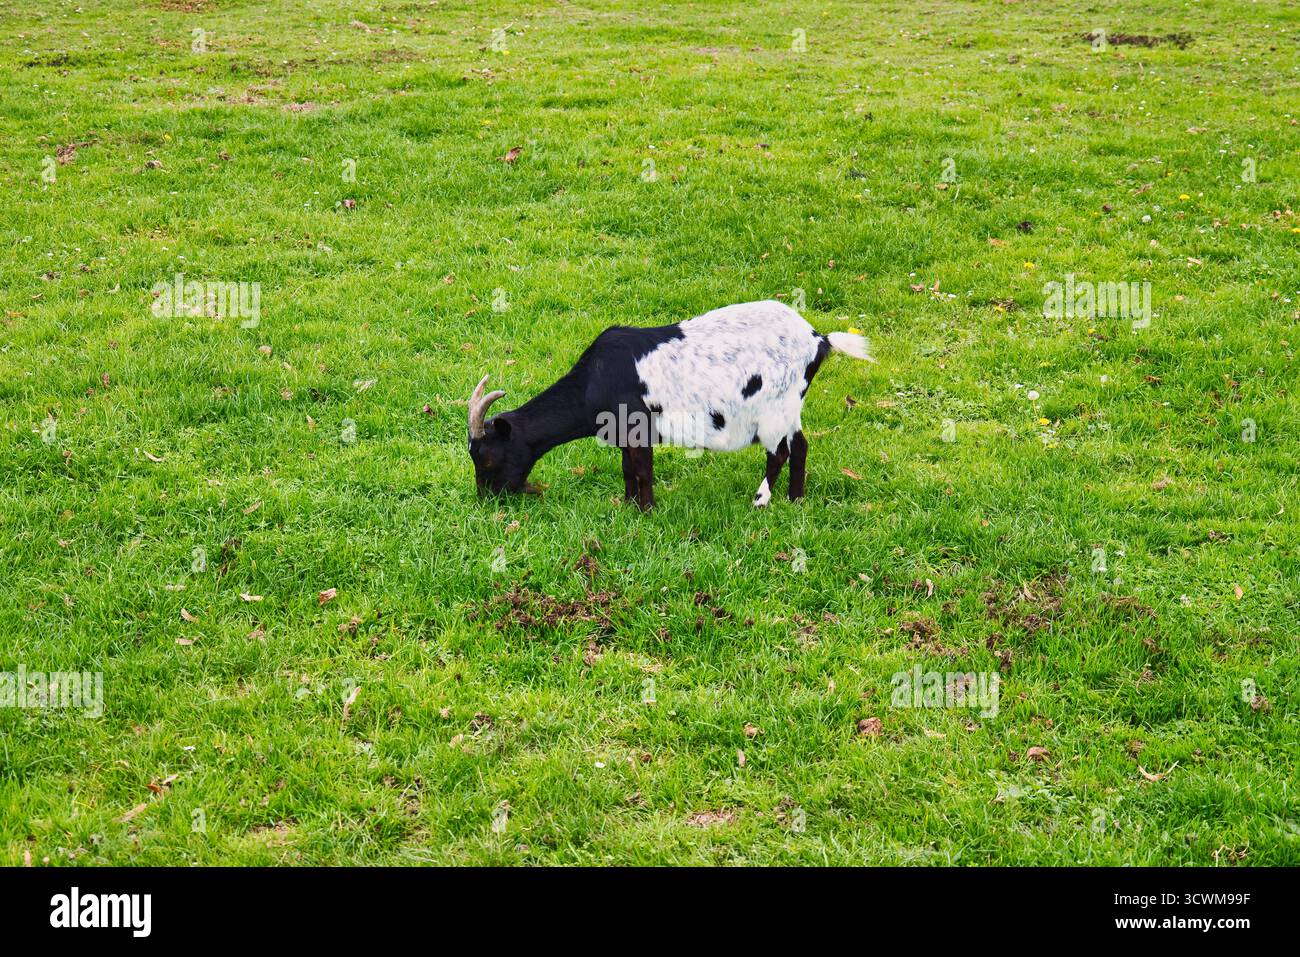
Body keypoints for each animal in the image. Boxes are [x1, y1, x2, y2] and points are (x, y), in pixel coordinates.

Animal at [467, 300, 875, 509]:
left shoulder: (638, 427)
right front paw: (629, 505)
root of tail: (818, 339)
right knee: (801, 446)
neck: (595, 378)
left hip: (775, 407)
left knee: (780, 453)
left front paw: (646, 511)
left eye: (486, 458)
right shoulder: (624, 434)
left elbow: (642, 470)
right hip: (789, 408)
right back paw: (795, 499)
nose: (486, 499)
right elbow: (627, 470)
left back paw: (761, 500)